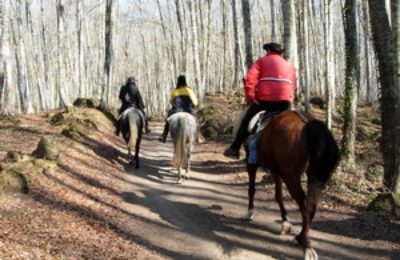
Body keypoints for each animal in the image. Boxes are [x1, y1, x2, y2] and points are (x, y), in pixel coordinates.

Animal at [245, 110, 340, 260]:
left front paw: (249, 213)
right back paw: (303, 239)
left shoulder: (251, 164)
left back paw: (305, 243)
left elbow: (252, 190)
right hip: (311, 175)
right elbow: (278, 195)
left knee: (304, 204)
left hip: (291, 176)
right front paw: (285, 223)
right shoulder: (276, 170)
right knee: (311, 205)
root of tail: (307, 122)